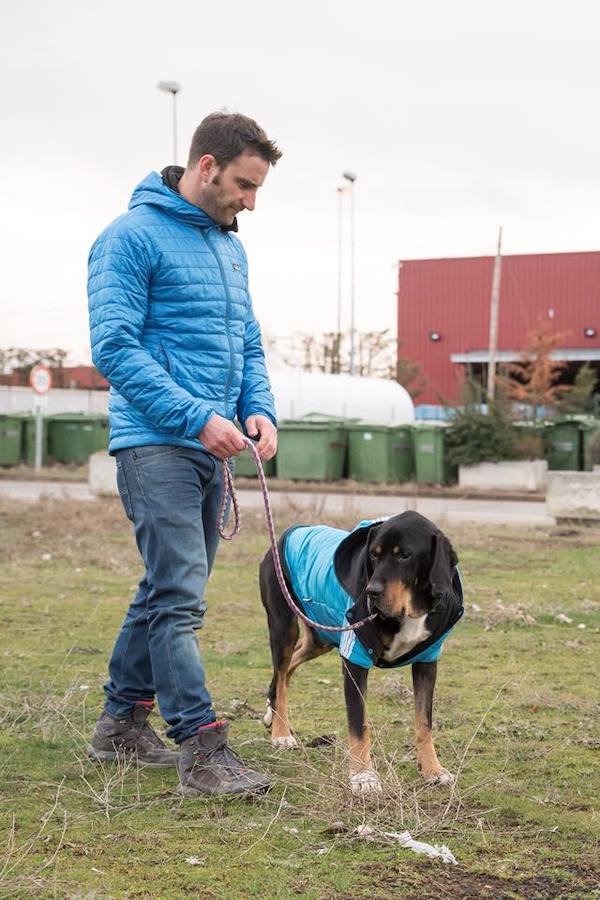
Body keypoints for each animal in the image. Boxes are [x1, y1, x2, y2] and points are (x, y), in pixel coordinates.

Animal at [258, 510, 464, 800]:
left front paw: (433, 770)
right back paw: (280, 732)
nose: (371, 592)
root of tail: (282, 537)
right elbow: (359, 725)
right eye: (374, 555)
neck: (410, 612)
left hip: (321, 637)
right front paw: (363, 777)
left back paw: (272, 713)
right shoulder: (354, 658)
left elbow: (425, 722)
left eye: (405, 555)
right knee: (282, 669)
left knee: (285, 671)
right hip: (283, 627)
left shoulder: (427, 661)